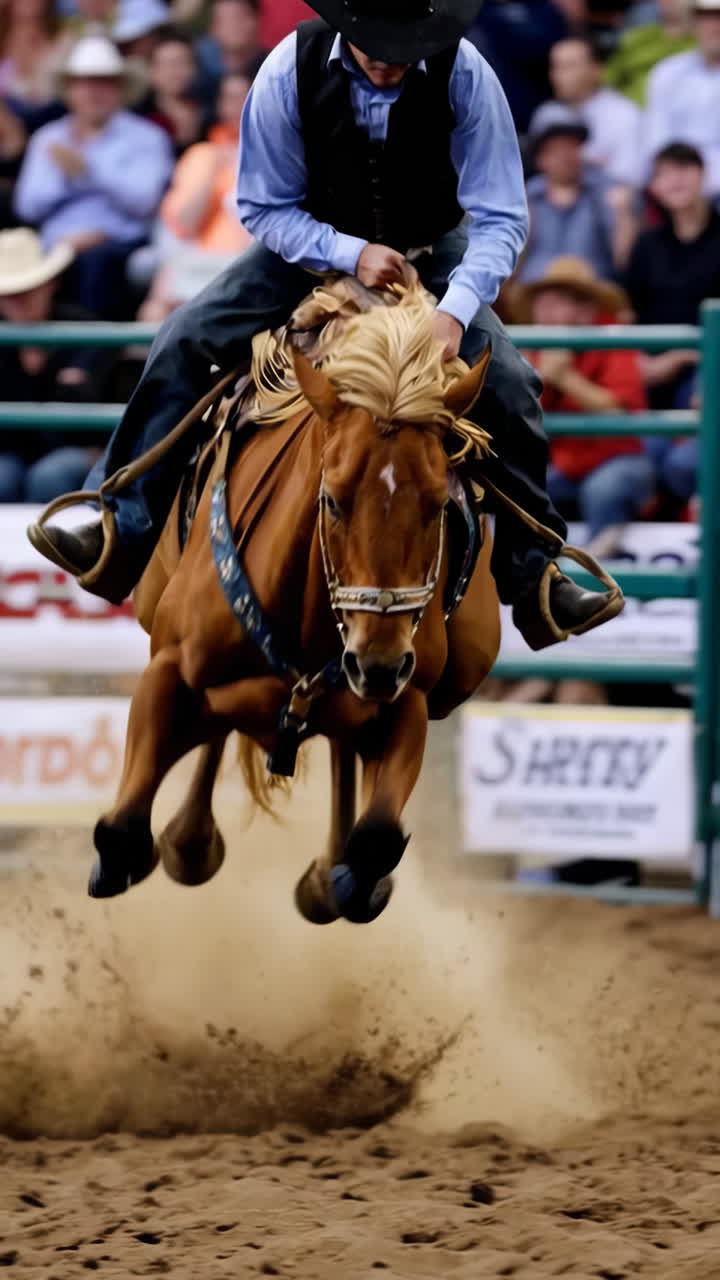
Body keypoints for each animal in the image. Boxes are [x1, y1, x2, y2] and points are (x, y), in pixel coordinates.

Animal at [91, 279, 501, 924]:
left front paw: (344, 881)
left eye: (440, 504)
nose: (379, 662)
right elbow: (122, 830)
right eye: (331, 498)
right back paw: (191, 839)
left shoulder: (408, 701)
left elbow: (376, 839)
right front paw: (164, 847)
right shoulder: (168, 671)